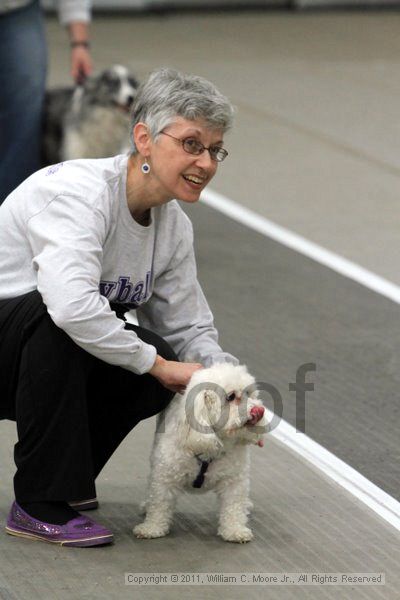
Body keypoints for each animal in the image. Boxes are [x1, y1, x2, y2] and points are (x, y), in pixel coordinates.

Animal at [133, 360, 268, 544]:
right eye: (231, 397)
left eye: (249, 393)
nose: (259, 411)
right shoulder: (165, 476)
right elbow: (160, 503)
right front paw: (152, 528)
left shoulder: (234, 481)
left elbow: (233, 507)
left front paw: (235, 530)